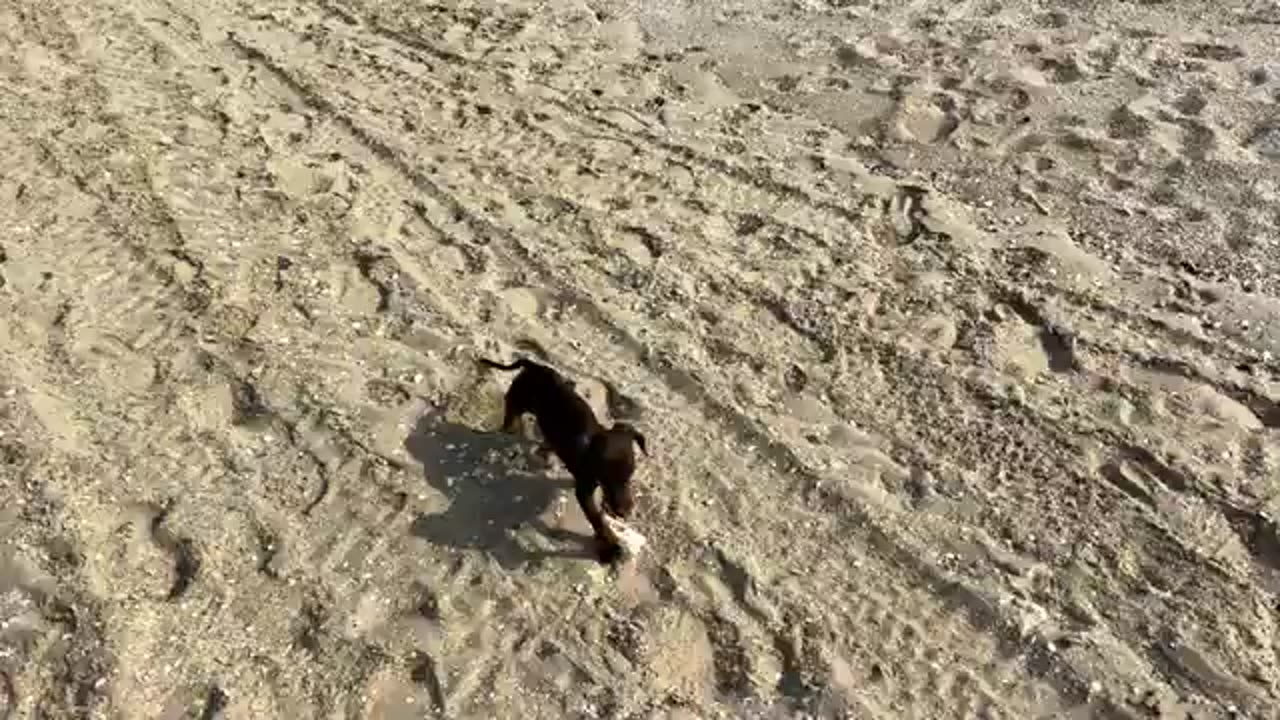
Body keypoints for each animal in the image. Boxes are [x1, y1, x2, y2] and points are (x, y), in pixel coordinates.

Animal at [478, 353, 645, 561]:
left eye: (630, 475)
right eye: (608, 478)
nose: (625, 512)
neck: (590, 447)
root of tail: (536, 367)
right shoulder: (584, 492)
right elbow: (596, 518)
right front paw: (612, 544)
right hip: (518, 401)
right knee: (511, 414)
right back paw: (513, 431)